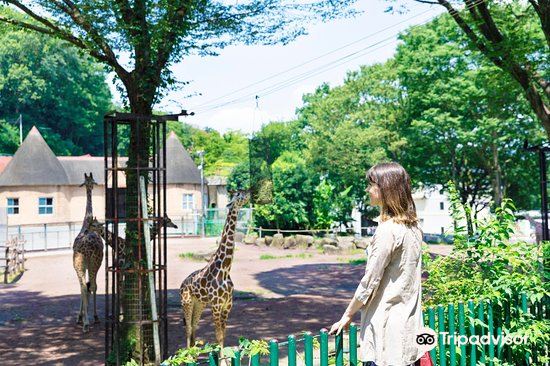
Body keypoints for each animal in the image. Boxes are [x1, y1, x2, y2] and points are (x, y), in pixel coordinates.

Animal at [180, 190, 251, 350]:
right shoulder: (217, 305)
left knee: (194, 326)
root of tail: (181, 285)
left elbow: (223, 335)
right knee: (188, 328)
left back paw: (193, 352)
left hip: (199, 304)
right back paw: (186, 354)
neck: (225, 269)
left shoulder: (228, 305)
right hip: (187, 302)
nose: (248, 193)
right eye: (238, 194)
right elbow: (218, 336)